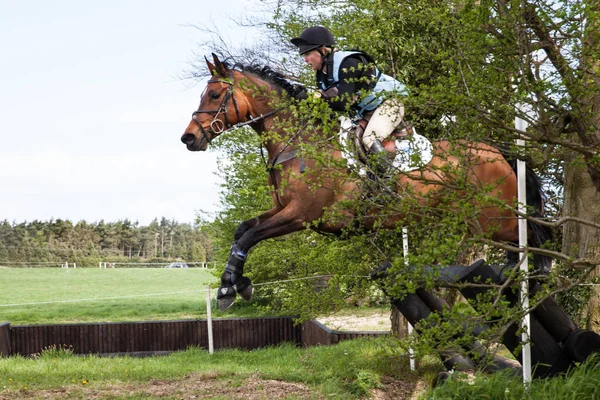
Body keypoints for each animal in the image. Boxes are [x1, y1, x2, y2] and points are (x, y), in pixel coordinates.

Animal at [180, 53, 552, 310]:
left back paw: (541, 277)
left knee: (532, 237)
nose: (189, 138)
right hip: (480, 221)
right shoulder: (282, 209)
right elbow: (242, 230)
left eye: (214, 96)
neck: (300, 144)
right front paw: (234, 284)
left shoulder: (302, 216)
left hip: (493, 219)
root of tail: (497, 151)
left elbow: (250, 236)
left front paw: (229, 289)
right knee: (520, 245)